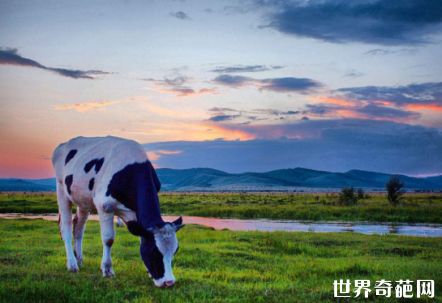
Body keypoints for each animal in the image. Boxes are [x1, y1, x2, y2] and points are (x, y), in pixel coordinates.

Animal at [51, 137, 183, 288]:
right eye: (155, 252)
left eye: (174, 251)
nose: (169, 282)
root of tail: (63, 144)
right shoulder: (104, 207)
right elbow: (108, 239)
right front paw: (107, 270)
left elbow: (141, 239)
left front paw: (148, 272)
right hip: (61, 190)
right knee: (66, 228)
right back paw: (72, 264)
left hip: (83, 200)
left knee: (78, 228)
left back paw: (79, 259)